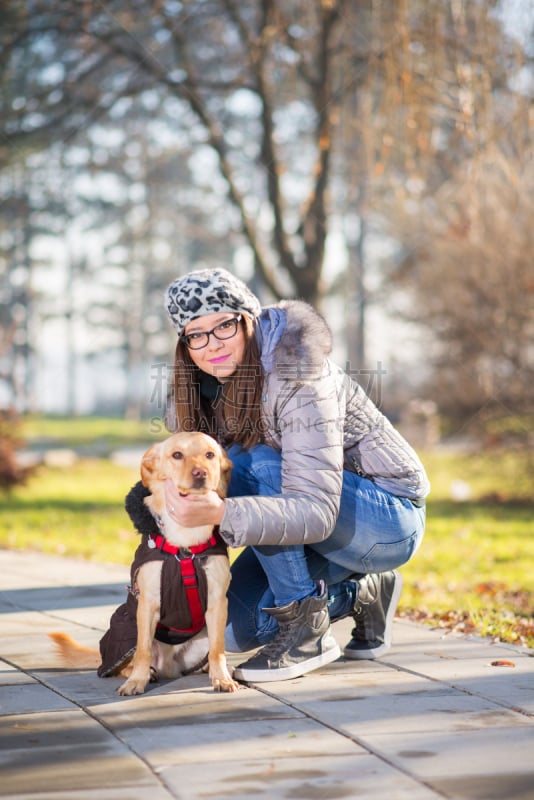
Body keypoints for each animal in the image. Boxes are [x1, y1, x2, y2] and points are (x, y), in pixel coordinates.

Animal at [49, 432, 239, 692]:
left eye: (209, 454)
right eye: (177, 455)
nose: (201, 473)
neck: (185, 543)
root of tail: (169, 667)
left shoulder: (217, 602)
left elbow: (218, 649)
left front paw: (221, 677)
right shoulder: (147, 604)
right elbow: (143, 650)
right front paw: (137, 681)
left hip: (201, 639)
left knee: (208, 654)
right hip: (127, 634)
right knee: (125, 664)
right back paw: (144, 673)